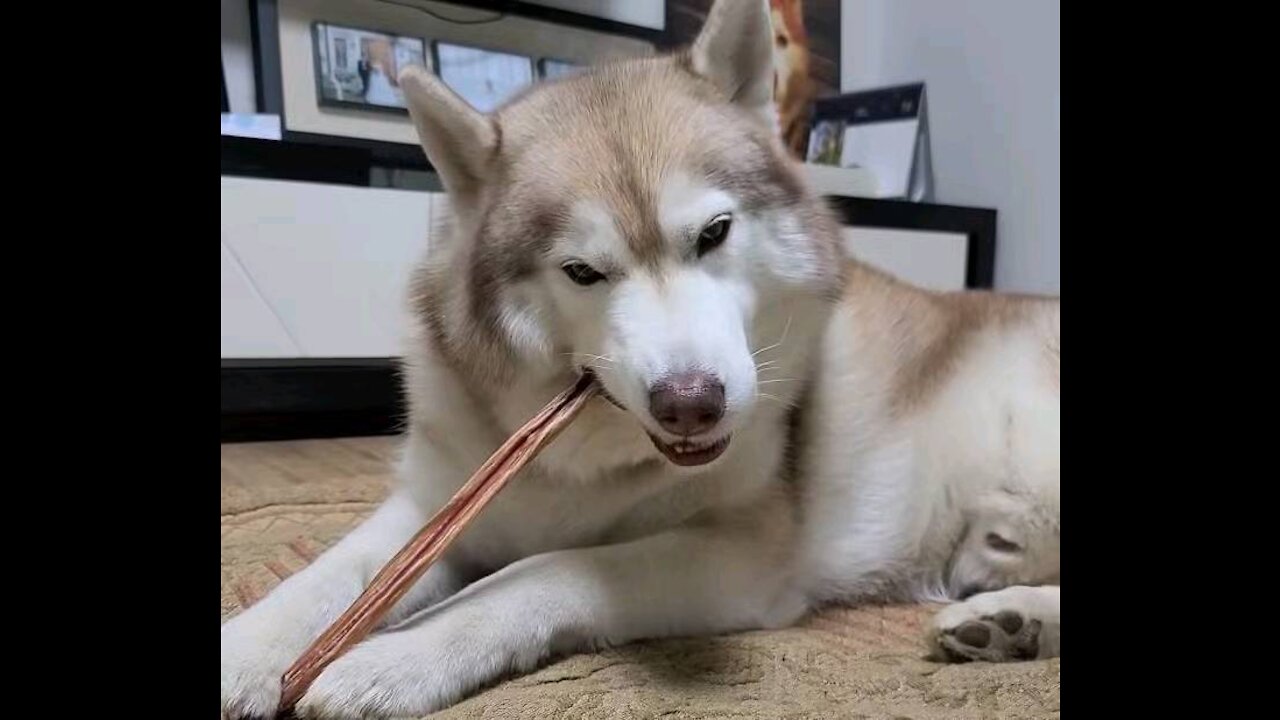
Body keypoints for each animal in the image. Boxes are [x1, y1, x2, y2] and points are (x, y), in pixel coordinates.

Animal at [220, 2, 1059, 712]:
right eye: (582, 271)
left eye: (715, 233)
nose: (692, 402)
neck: (575, 464)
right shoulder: (439, 502)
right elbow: (333, 575)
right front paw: (247, 649)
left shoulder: (739, 555)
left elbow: (545, 570)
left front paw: (399, 654)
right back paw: (1007, 624)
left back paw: (1010, 617)